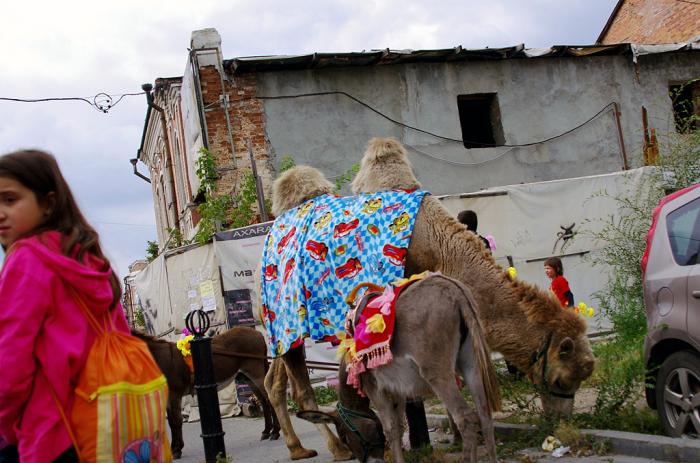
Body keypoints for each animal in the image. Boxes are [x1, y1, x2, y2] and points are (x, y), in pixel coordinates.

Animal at [298, 276, 500, 463]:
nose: (371, 461)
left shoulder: (374, 388)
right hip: (471, 364)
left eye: (345, 438)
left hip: (437, 373)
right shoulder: (398, 390)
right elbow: (401, 426)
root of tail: (452, 288)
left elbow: (391, 429)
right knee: (484, 415)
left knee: (466, 418)